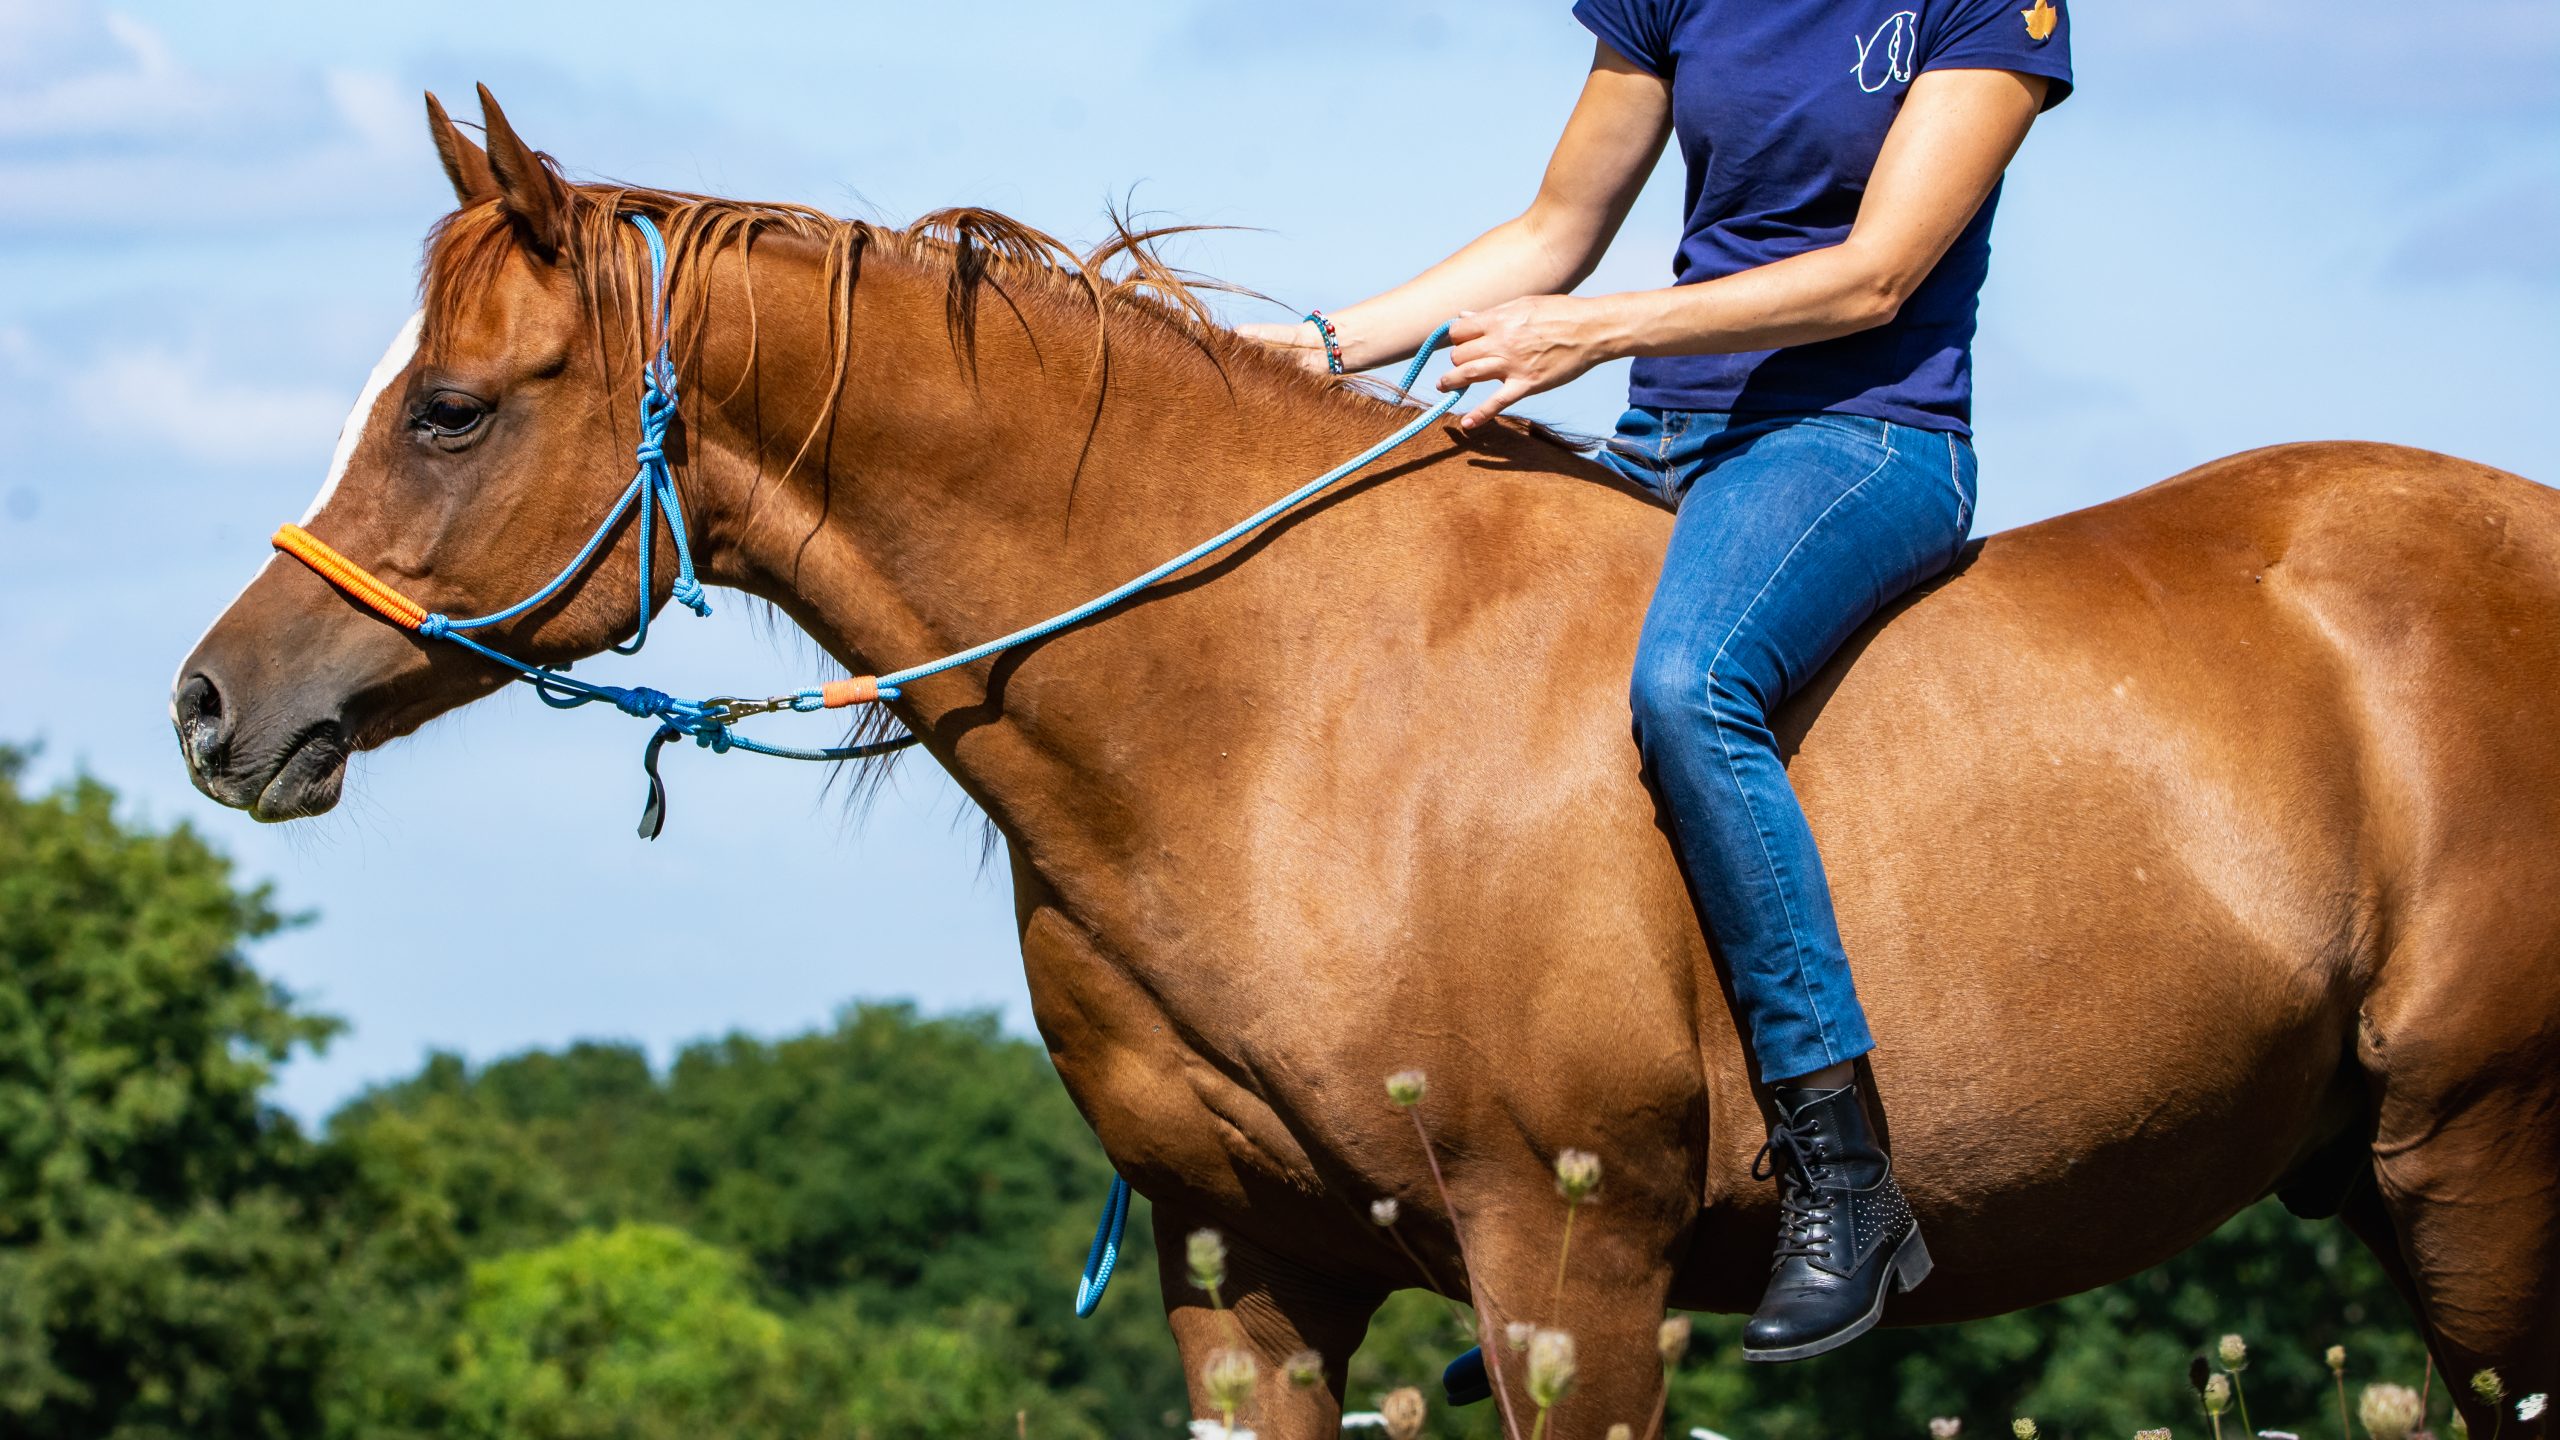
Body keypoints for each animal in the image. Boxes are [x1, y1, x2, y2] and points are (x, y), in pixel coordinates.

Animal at [171, 89, 2560, 1437]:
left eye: (450, 410)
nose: (210, 707)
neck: (1278, 716)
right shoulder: (1247, 1285)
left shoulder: (1572, 1278)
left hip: (2480, 1169)